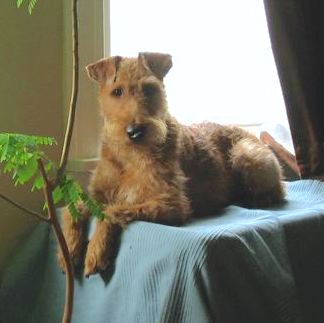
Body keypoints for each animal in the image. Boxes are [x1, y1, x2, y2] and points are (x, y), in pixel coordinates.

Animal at [57, 52, 284, 276]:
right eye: (117, 91)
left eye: (149, 88)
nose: (134, 132)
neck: (129, 158)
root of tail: (248, 132)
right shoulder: (97, 194)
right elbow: (71, 208)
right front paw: (69, 249)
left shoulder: (171, 203)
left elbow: (111, 210)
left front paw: (96, 251)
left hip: (246, 154)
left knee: (277, 191)